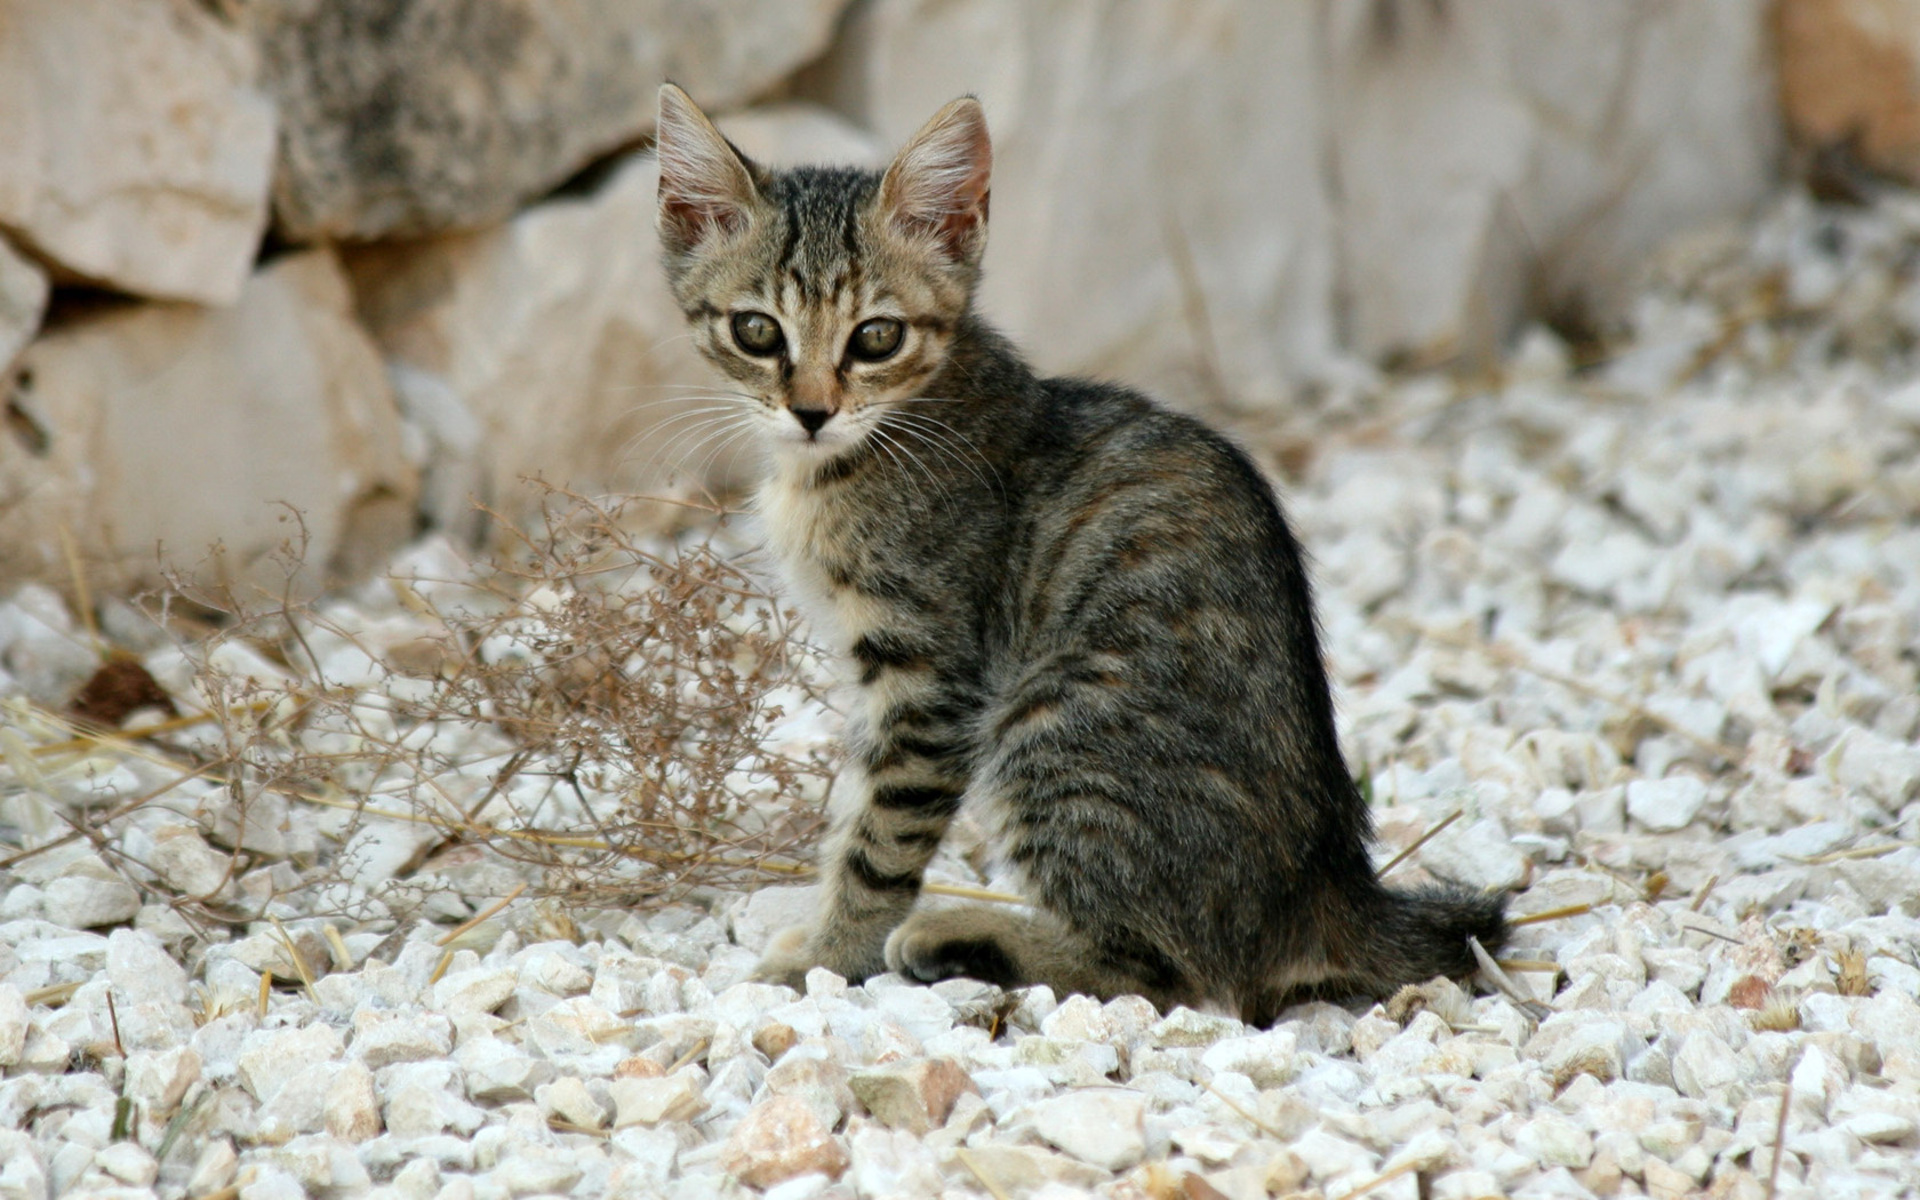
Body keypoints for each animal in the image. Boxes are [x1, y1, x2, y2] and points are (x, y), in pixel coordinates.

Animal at [652, 84, 1505, 1021]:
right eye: (756, 331)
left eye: (877, 337)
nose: (810, 411)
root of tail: (1334, 887)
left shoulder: (932, 676)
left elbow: (880, 835)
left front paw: (832, 955)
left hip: (1054, 726)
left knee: (1168, 973)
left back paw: (967, 939)